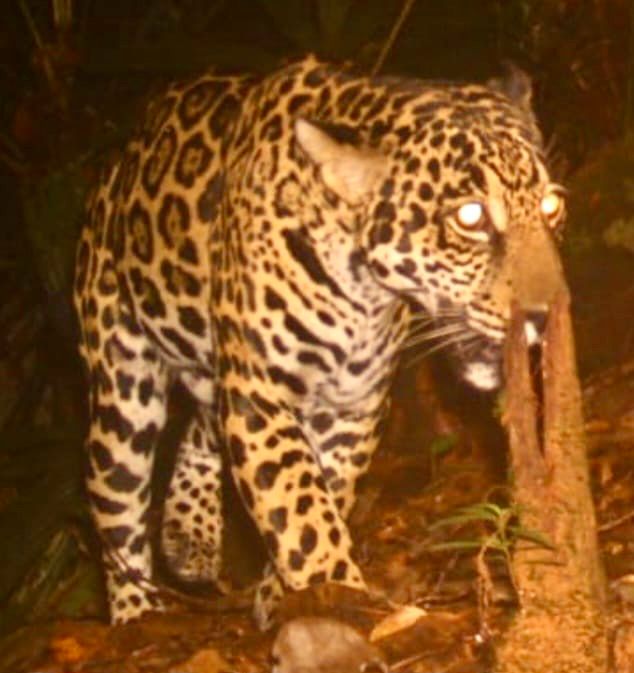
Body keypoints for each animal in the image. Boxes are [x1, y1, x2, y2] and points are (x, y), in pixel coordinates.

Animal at [73, 55, 566, 626]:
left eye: (551, 206)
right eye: (471, 217)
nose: (545, 316)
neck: (363, 292)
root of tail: (119, 163)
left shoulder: (353, 404)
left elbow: (323, 489)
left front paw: (289, 593)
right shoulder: (260, 393)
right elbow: (299, 503)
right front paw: (337, 589)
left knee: (203, 423)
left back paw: (187, 535)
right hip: (122, 385)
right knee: (114, 498)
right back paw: (136, 610)